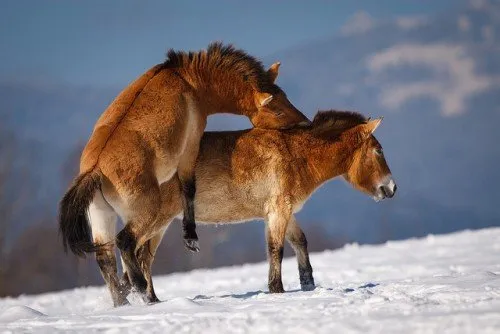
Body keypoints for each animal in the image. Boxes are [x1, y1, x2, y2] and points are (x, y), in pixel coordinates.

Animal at [57, 41, 308, 306]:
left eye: (286, 98)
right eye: (276, 110)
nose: (305, 124)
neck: (187, 80)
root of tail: (95, 170)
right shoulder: (190, 145)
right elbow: (188, 187)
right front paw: (190, 237)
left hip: (101, 217)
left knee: (105, 258)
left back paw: (122, 302)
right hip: (144, 213)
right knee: (126, 243)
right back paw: (141, 289)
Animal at [120, 111, 394, 304]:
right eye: (379, 150)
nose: (392, 188)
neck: (296, 154)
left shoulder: (285, 211)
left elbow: (300, 241)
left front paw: (307, 283)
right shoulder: (279, 210)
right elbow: (276, 248)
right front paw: (277, 289)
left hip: (160, 225)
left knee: (143, 257)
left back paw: (150, 298)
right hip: (155, 219)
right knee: (128, 245)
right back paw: (141, 294)